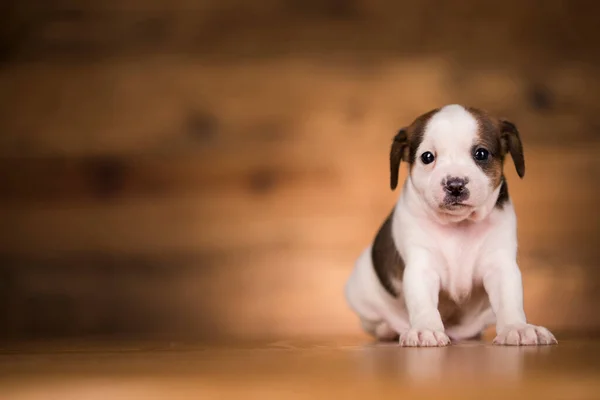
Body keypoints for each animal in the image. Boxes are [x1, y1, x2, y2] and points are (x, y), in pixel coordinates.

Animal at [344, 104, 560, 346]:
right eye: (427, 157)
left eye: (481, 154)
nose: (455, 184)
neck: (459, 225)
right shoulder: (422, 266)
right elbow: (423, 302)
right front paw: (426, 328)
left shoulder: (500, 265)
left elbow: (509, 299)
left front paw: (518, 327)